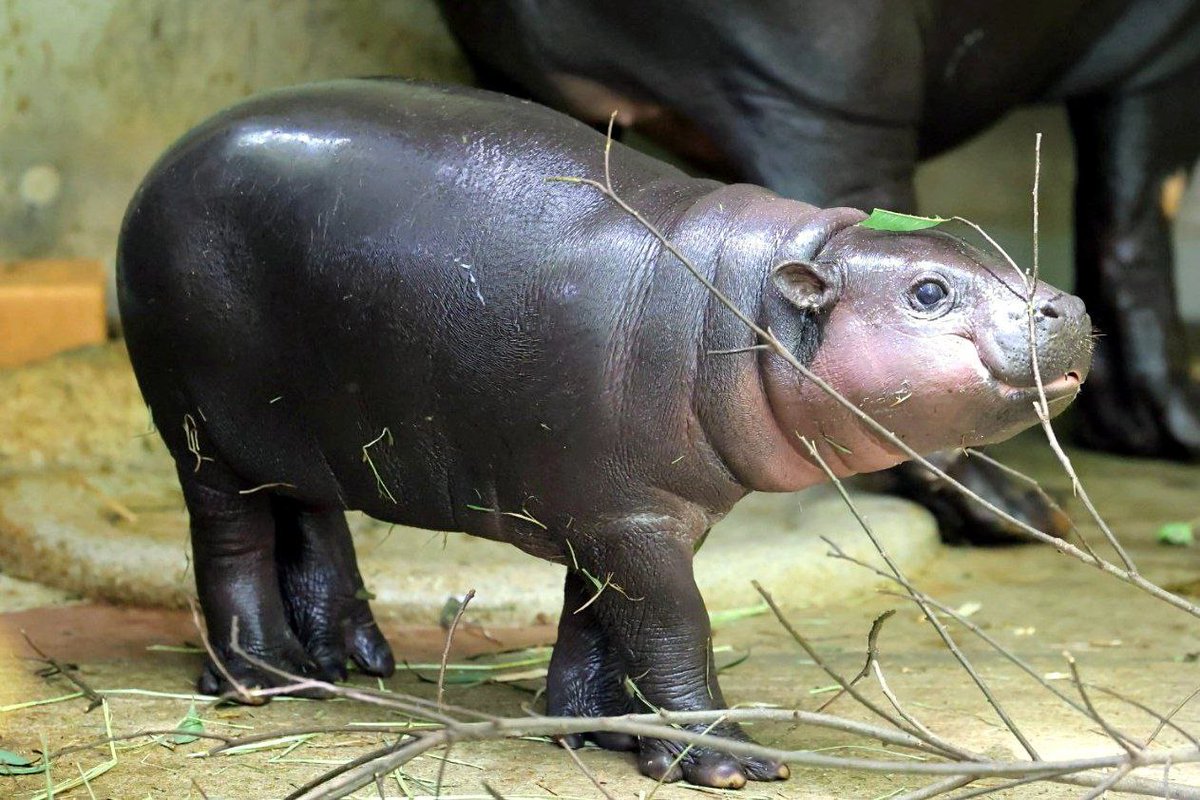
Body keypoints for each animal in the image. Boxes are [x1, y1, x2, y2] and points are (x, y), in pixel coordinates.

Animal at [117, 80, 1092, 788]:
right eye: (928, 291)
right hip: (200, 430)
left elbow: (595, 619)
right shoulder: (632, 521)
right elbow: (672, 625)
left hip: (303, 429)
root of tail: (168, 159)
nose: (1071, 305)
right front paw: (727, 765)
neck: (741, 302)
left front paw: (594, 732)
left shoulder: (614, 514)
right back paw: (263, 679)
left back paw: (355, 663)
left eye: (993, 253)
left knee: (312, 517)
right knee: (231, 540)